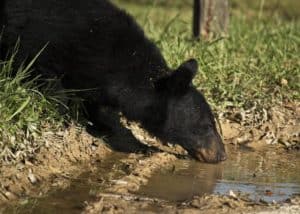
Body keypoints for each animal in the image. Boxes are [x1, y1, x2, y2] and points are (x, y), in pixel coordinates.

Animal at [0, 0, 225, 162]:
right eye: (206, 125)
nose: (222, 155)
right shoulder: (38, 41)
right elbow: (44, 77)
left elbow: (101, 110)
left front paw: (140, 145)